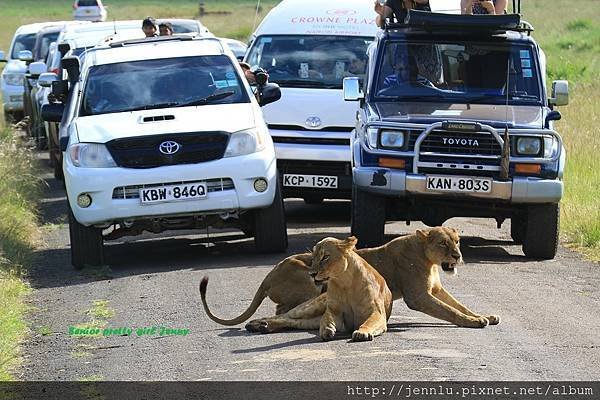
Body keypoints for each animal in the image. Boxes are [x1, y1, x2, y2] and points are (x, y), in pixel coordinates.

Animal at [199, 227, 500, 330]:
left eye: (457, 242)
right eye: (443, 244)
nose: (458, 255)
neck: (429, 259)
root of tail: (268, 275)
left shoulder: (435, 289)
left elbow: (459, 305)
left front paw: (484, 315)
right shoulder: (419, 296)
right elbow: (450, 311)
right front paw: (474, 322)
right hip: (309, 278)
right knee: (282, 308)